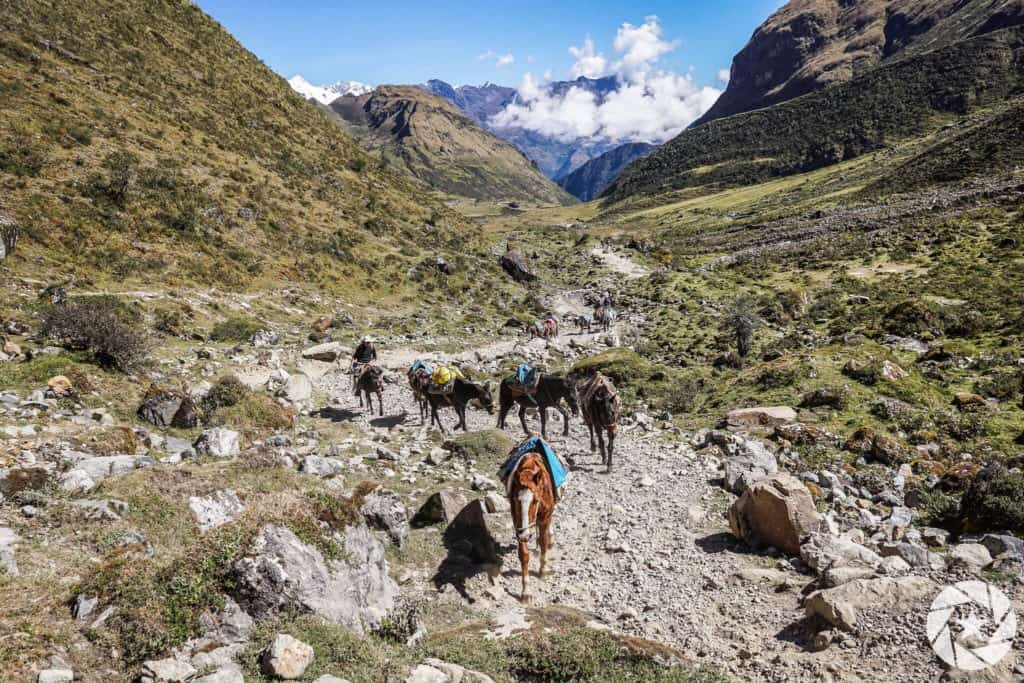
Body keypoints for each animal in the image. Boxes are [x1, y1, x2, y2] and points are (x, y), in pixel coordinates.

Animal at [503, 450, 552, 602]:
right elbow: (524, 555)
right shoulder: (517, 524)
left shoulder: (544, 518)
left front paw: (543, 570)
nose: (525, 535)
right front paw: (526, 591)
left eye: (535, 500)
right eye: (515, 499)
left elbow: (543, 541)